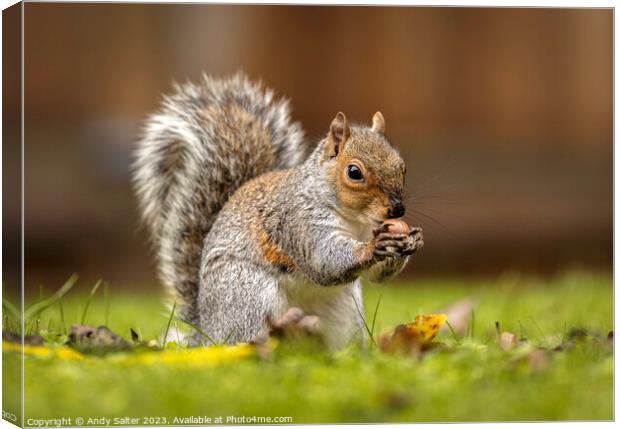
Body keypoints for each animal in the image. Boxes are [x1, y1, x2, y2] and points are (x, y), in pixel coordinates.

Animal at [131, 72, 422, 348]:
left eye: (403, 167)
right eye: (354, 172)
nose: (397, 209)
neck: (357, 222)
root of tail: (208, 331)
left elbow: (377, 274)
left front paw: (411, 240)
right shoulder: (298, 222)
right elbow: (325, 259)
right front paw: (373, 247)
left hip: (344, 313)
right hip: (248, 296)